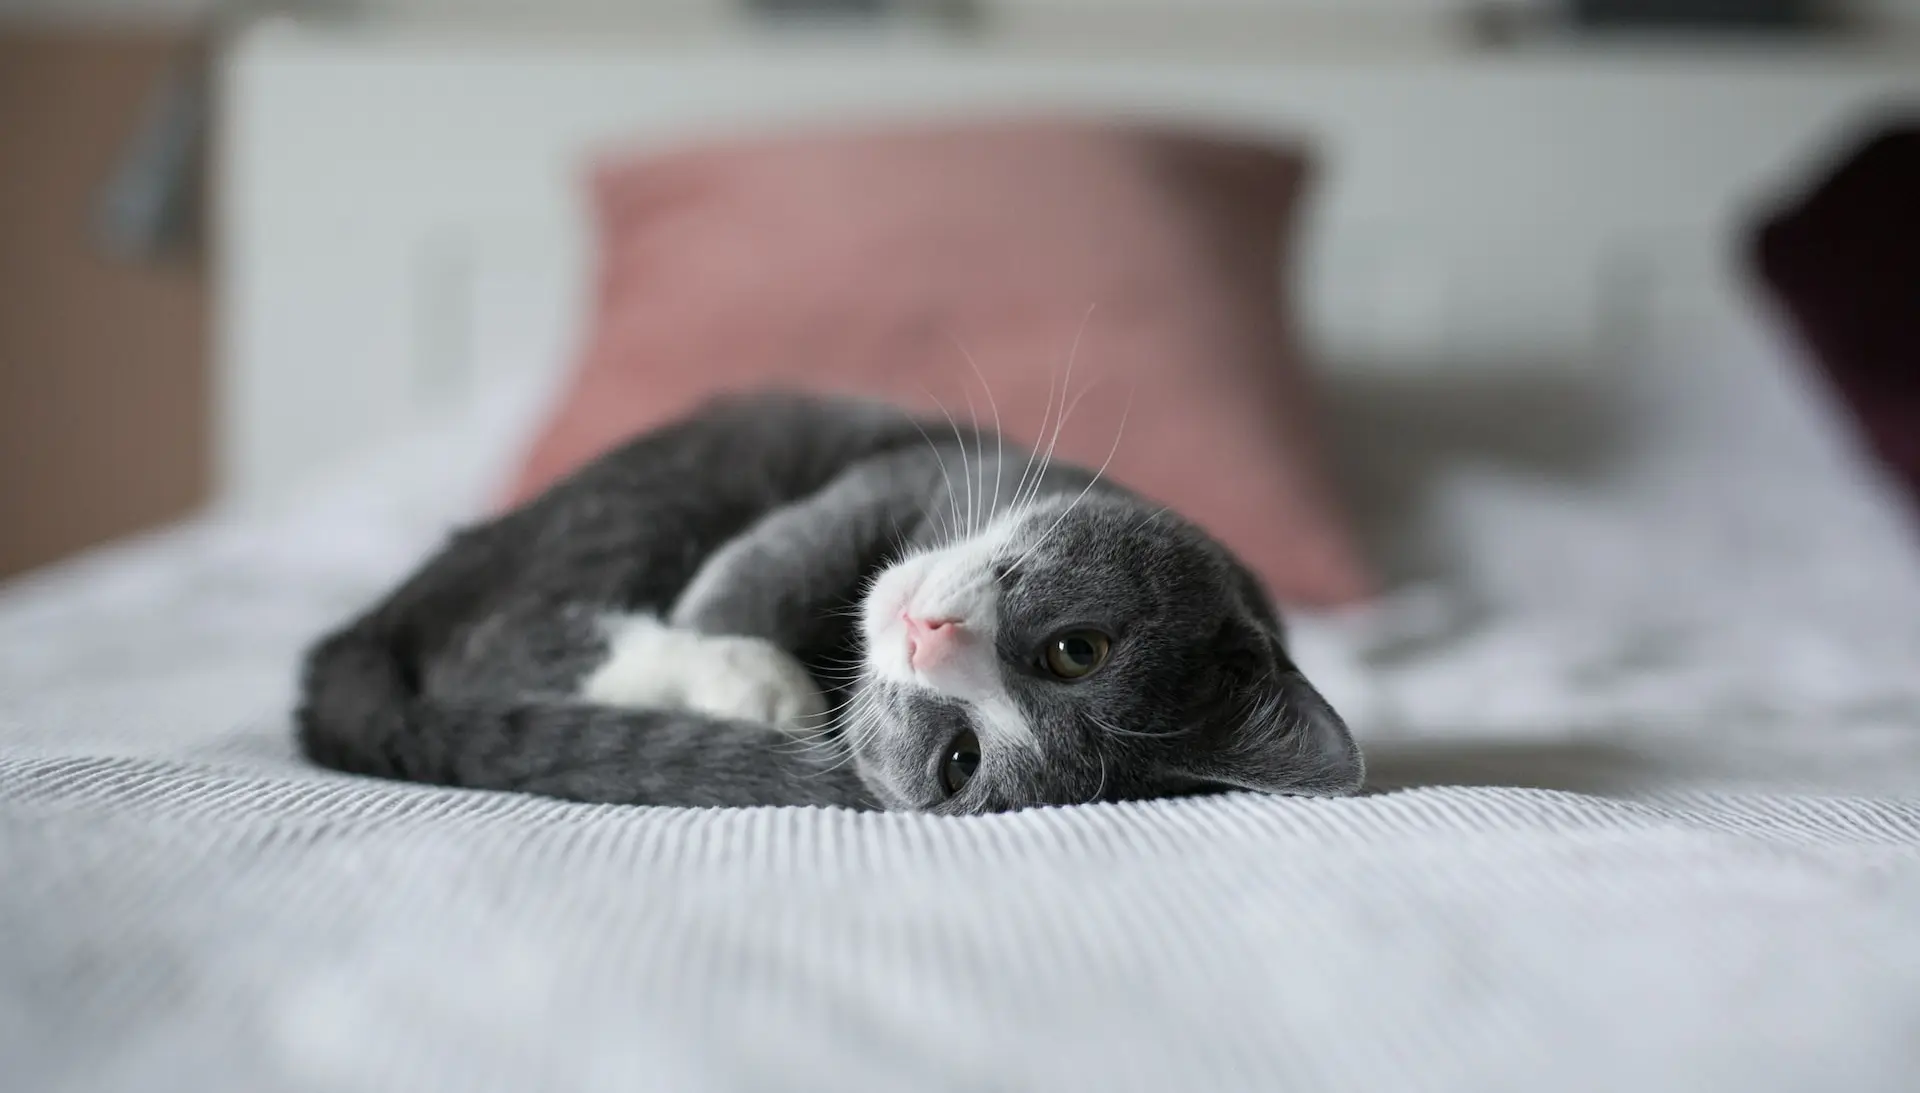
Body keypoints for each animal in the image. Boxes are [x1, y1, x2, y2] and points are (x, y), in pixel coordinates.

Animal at [295, 391, 1367, 810]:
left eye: (960, 758)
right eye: (1079, 649)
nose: (929, 636)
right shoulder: (900, 474)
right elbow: (773, 564)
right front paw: (742, 653)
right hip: (661, 489)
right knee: (492, 640)